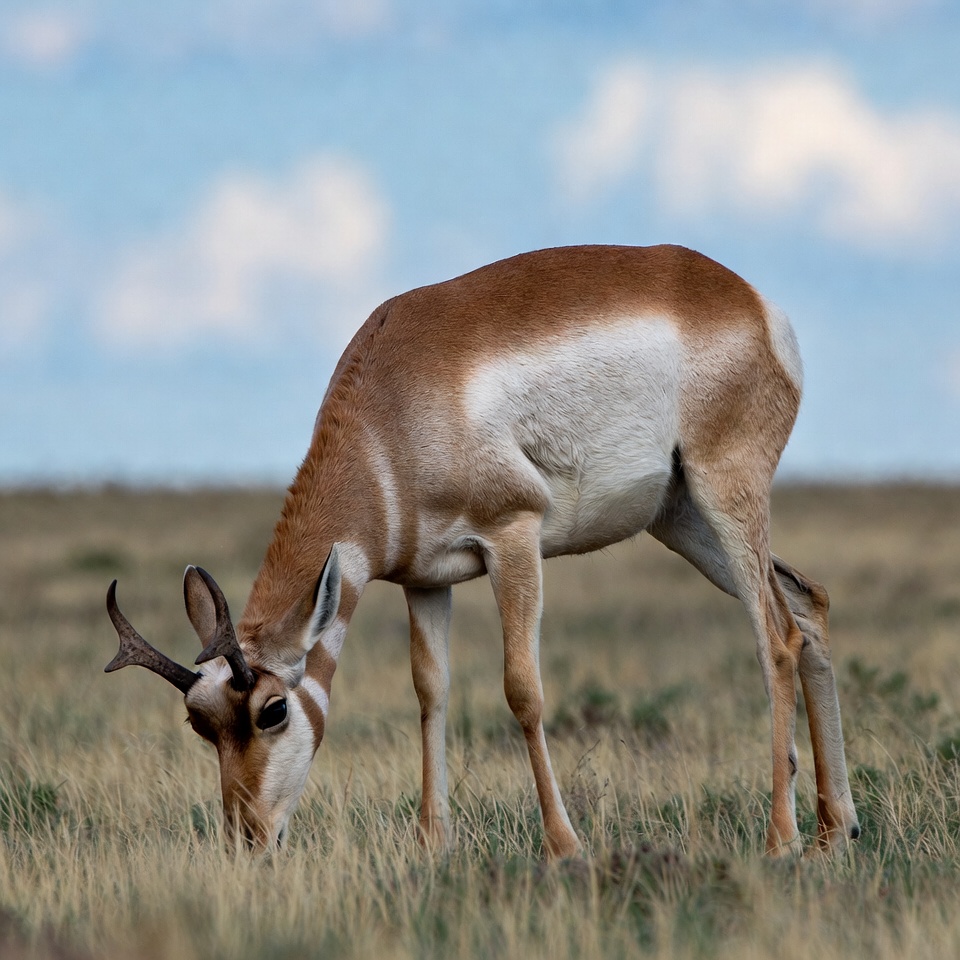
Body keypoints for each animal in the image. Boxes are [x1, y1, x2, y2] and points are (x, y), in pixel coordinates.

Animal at [105, 244, 860, 858]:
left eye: (272, 710)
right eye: (200, 722)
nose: (248, 839)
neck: (391, 407)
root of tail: (752, 301)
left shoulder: (512, 537)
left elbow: (522, 689)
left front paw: (563, 846)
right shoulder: (423, 581)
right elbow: (430, 692)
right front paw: (431, 842)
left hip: (723, 494)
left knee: (777, 637)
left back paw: (782, 838)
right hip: (680, 519)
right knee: (810, 602)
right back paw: (835, 830)